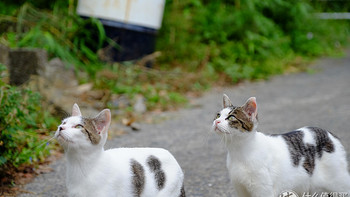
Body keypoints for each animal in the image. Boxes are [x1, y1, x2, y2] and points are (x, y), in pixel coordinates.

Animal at [212, 94, 348, 197]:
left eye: (231, 117)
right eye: (218, 115)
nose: (216, 121)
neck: (238, 151)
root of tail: (329, 133)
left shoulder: (263, 191)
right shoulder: (241, 190)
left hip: (339, 183)